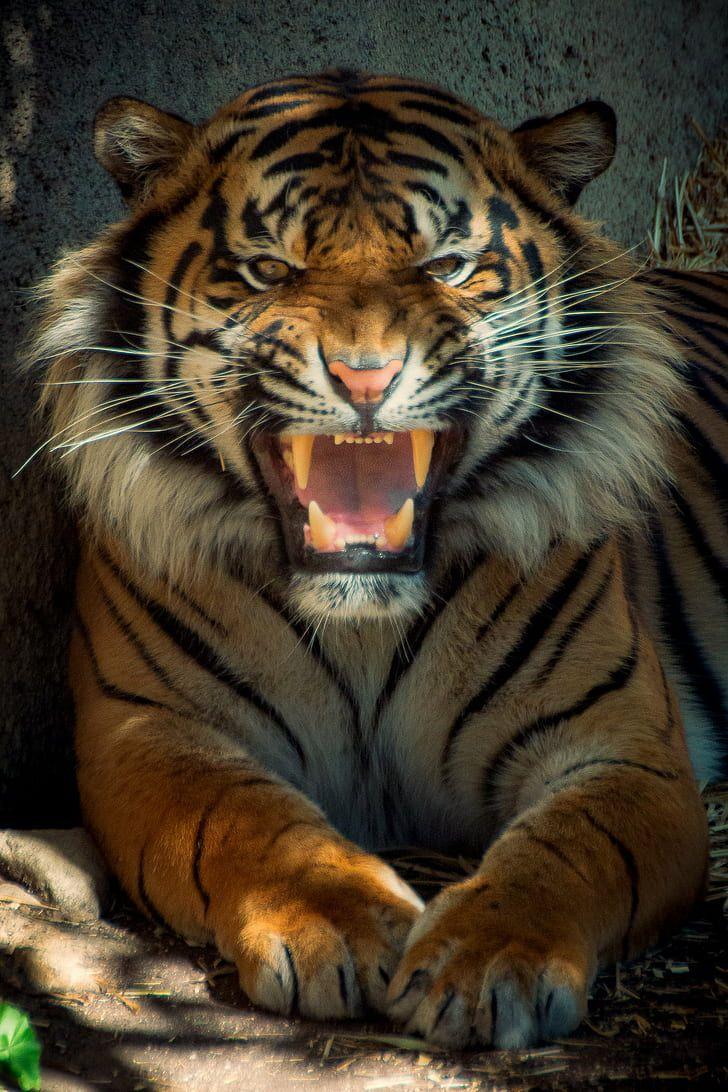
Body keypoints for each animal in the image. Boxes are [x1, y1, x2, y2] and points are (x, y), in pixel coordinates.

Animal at [26, 68, 727, 1049]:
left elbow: (571, 850)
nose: (365, 376)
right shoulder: (148, 731)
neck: (364, 622)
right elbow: (247, 820)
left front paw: (489, 961)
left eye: (446, 268)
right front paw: (339, 924)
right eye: (270, 270)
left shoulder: (627, 745)